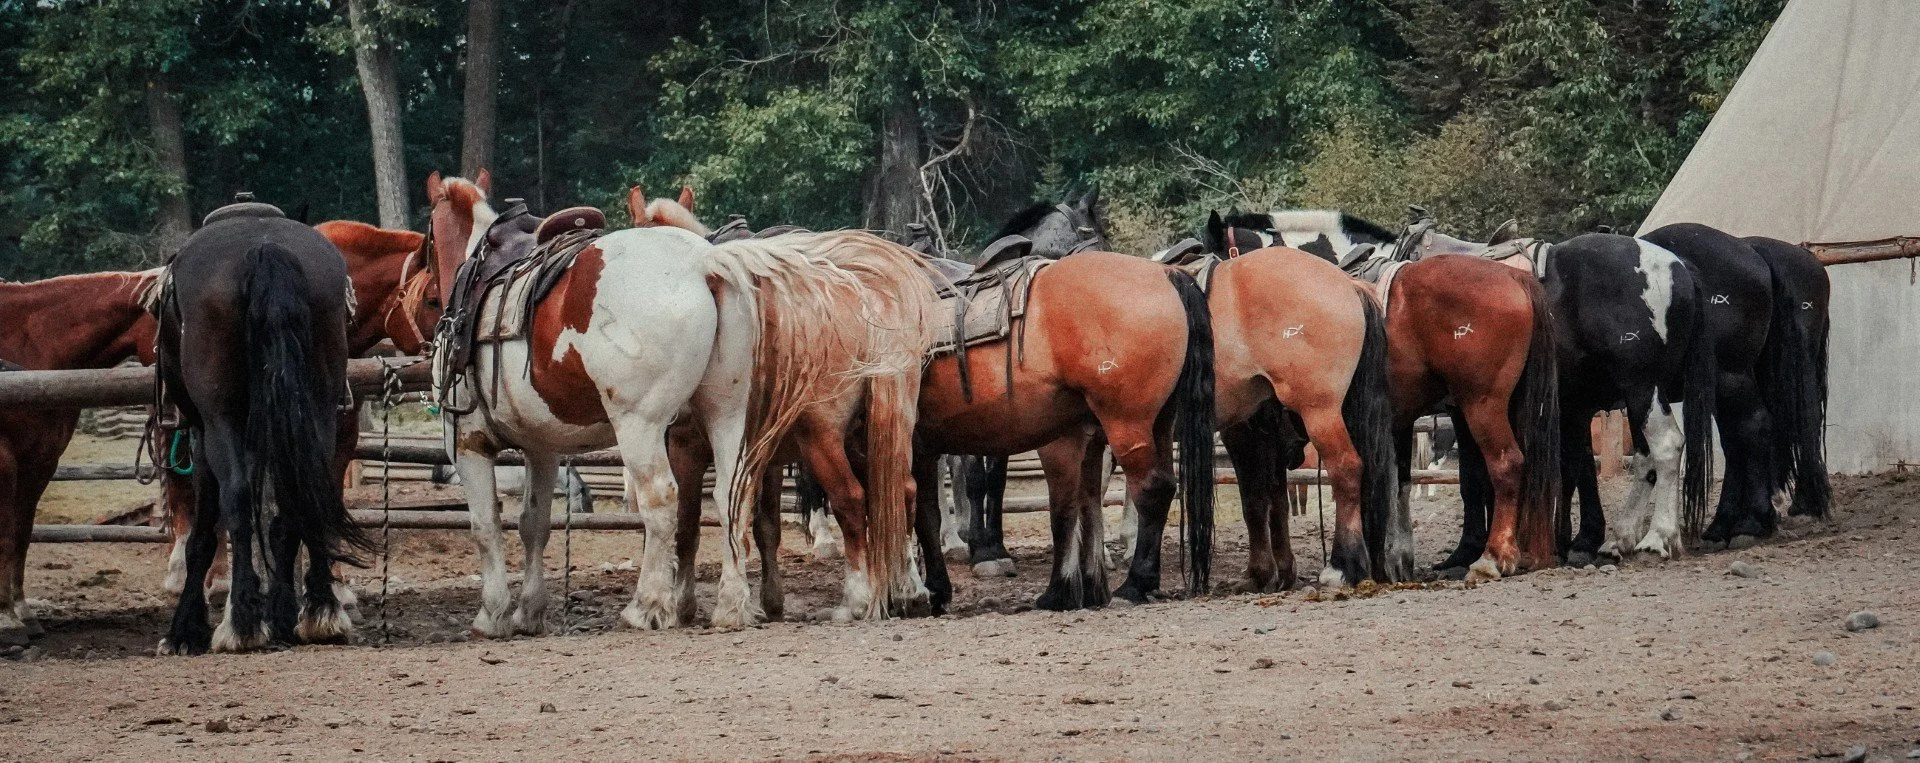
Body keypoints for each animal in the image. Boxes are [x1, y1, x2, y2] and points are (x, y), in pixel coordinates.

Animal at [0, 270, 160, 646]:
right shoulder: (4, 458)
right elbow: (3, 535)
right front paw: (5, 621)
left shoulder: (38, 465)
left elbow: (20, 533)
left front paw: (22, 613)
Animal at [153, 203, 369, 655]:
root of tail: (266, 247)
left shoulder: (202, 434)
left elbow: (205, 531)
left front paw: (186, 629)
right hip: (317, 413)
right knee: (307, 497)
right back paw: (316, 614)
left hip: (219, 423)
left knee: (236, 499)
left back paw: (242, 623)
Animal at [425, 175, 935, 631]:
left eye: (426, 243)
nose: (420, 298)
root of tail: (706, 264)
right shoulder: (544, 447)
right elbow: (535, 524)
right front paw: (529, 613)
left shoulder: (468, 442)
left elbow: (486, 526)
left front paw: (493, 615)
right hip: (754, 422)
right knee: (775, 497)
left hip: (669, 427)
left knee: (675, 500)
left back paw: (649, 607)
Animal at [1218, 211, 1561, 580]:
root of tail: (1515, 277)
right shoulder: (1397, 418)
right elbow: (1397, 483)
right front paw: (1394, 563)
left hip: (1482, 405)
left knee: (1507, 465)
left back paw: (1493, 557)